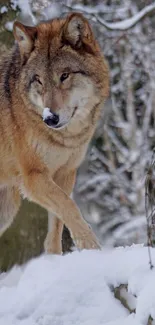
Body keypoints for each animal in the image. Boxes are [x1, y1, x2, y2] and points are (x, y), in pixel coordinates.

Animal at [0, 12, 109, 253]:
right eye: (39, 80)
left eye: (65, 75)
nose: (50, 118)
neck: (65, 139)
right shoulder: (33, 177)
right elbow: (69, 207)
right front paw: (91, 246)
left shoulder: (65, 173)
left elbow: (57, 225)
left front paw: (54, 258)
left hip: (7, 207)